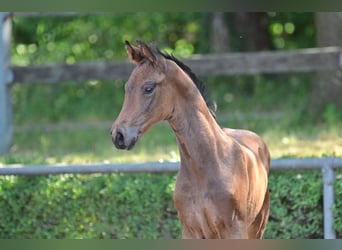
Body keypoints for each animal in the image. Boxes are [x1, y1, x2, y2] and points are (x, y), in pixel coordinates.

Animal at [109, 40, 270, 239]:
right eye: (126, 88)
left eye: (148, 88)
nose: (118, 135)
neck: (207, 166)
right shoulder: (190, 230)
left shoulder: (234, 231)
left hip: (257, 228)